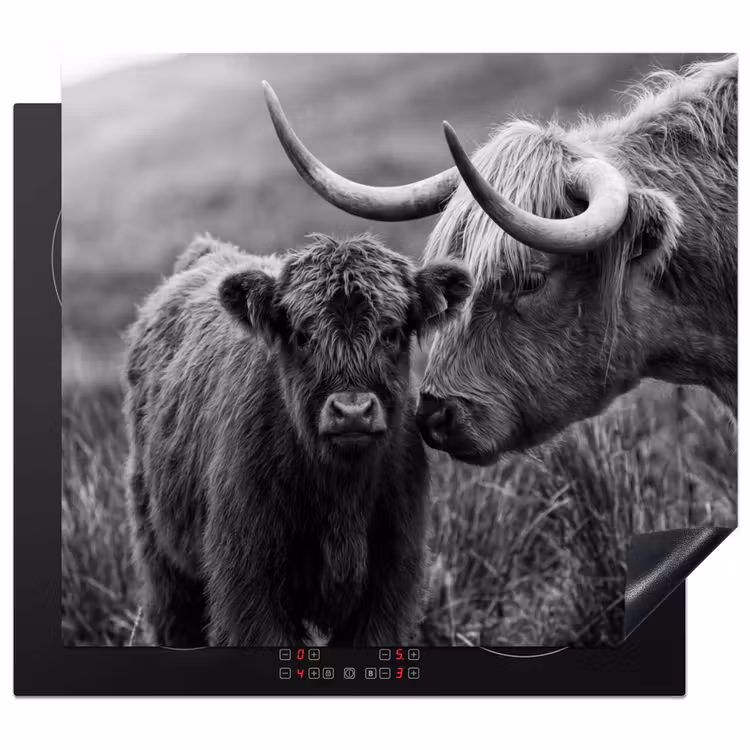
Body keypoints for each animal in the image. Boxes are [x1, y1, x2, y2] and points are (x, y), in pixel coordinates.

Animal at [123, 232, 471, 647]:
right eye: (304, 336)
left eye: (391, 334)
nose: (352, 411)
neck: (341, 492)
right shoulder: (249, 584)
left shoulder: (390, 581)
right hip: (161, 553)